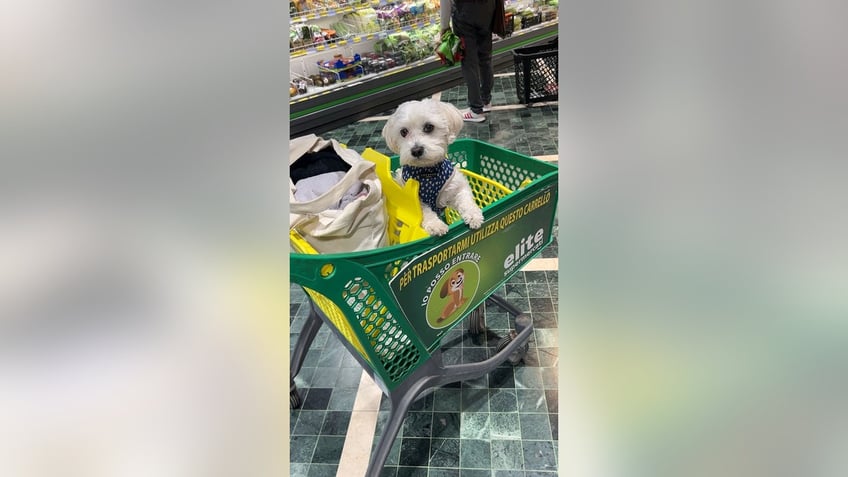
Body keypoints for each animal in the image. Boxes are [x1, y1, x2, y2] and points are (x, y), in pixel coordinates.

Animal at [382, 99, 484, 236]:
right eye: (403, 132)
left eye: (429, 127)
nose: (416, 150)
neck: (428, 171)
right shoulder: (413, 199)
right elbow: (425, 212)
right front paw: (436, 225)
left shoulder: (456, 186)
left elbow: (465, 199)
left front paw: (474, 215)